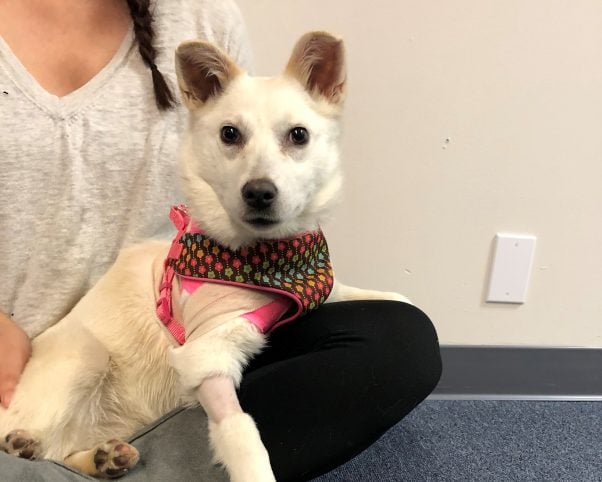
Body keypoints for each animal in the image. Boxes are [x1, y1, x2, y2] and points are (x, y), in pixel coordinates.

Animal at [0, 32, 408, 480]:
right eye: (230, 133)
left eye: (298, 135)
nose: (259, 193)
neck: (268, 260)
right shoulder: (204, 353)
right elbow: (239, 429)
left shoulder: (313, 288)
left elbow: (375, 296)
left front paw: (395, 297)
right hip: (87, 355)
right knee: (38, 447)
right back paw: (25, 443)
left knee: (63, 454)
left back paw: (104, 457)